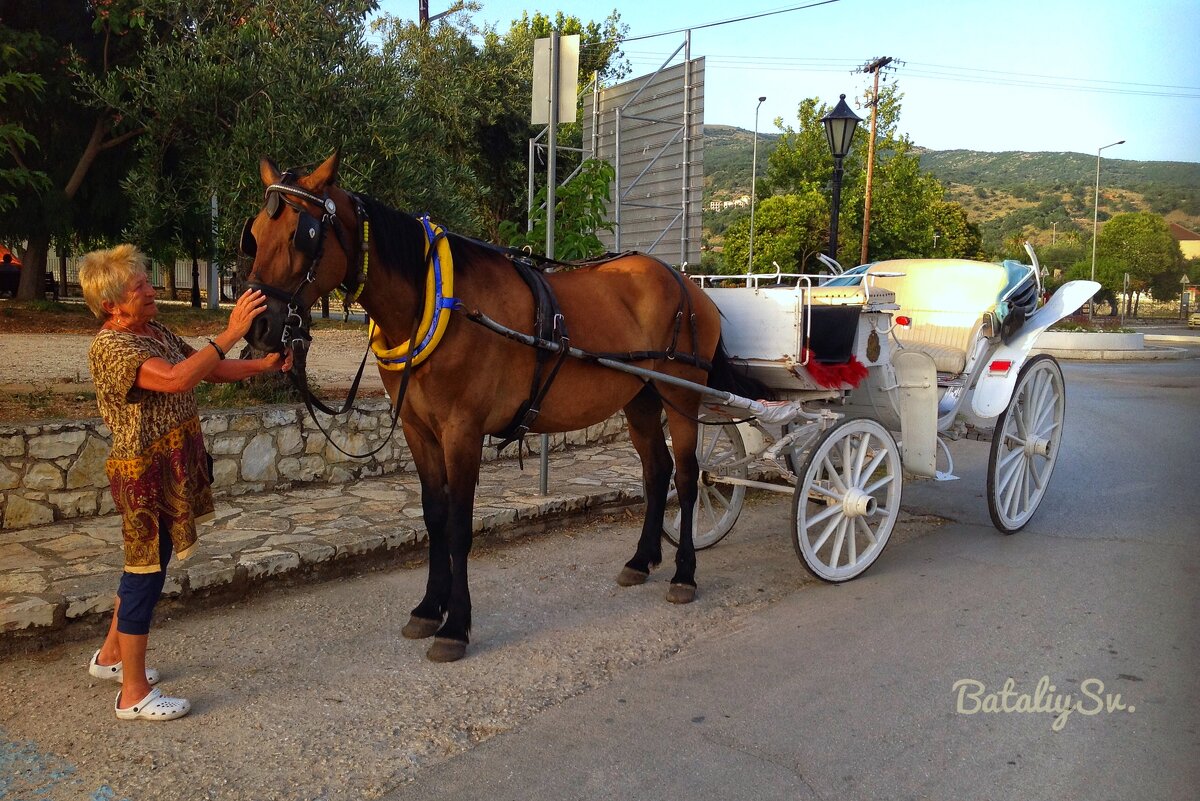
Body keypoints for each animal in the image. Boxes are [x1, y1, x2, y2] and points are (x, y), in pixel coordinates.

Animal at [240, 153, 753, 661]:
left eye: (303, 234)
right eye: (255, 234)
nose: (259, 327)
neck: (437, 301)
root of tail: (686, 282)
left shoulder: (462, 432)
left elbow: (459, 526)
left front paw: (455, 626)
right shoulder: (418, 430)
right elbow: (434, 518)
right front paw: (429, 608)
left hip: (681, 395)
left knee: (687, 477)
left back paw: (684, 574)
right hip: (642, 399)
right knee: (656, 471)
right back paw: (642, 559)